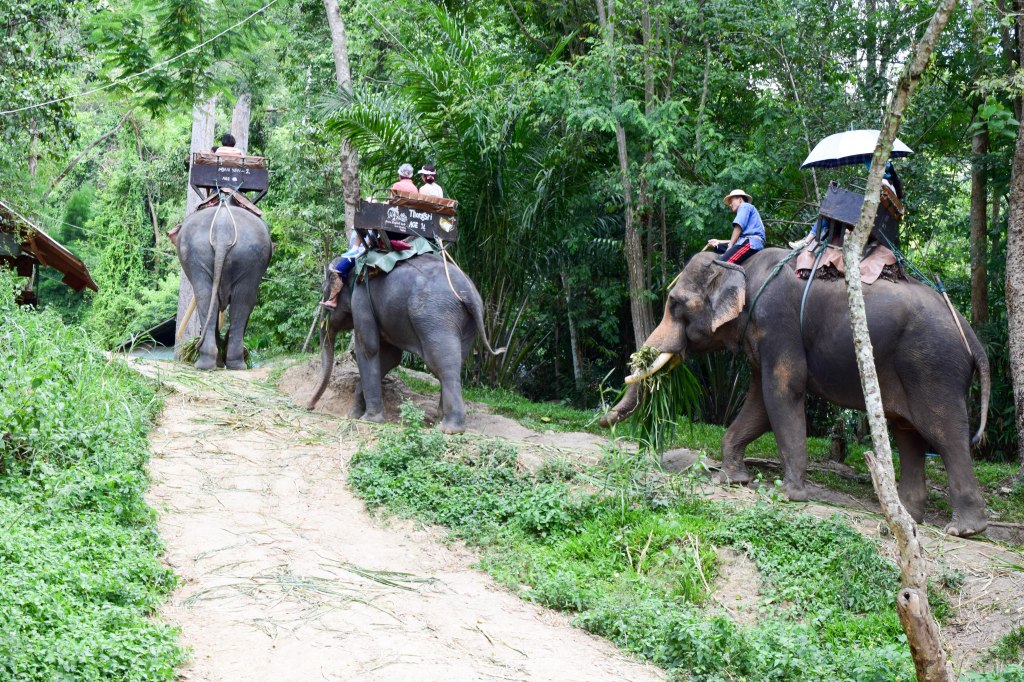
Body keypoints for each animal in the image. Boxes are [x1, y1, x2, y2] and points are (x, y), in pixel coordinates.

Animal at [176, 204, 272, 370]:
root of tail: (222, 227)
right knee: (241, 302)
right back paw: (231, 363)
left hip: (203, 254)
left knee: (212, 299)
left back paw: (211, 363)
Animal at [306, 253, 504, 434]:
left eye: (324, 291)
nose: (309, 406)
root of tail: (469, 294)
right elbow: (390, 357)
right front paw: (354, 415)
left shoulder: (362, 300)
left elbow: (368, 349)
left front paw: (368, 419)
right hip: (467, 324)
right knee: (456, 361)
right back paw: (439, 421)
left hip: (436, 317)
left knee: (442, 365)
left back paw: (449, 428)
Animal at [601, 249, 991, 537]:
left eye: (675, 304)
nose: (603, 420)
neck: (740, 266)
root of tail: (972, 337)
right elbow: (759, 402)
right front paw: (733, 479)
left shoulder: (777, 322)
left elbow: (781, 391)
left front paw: (785, 494)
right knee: (907, 433)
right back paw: (902, 518)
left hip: (932, 367)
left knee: (945, 434)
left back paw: (963, 530)